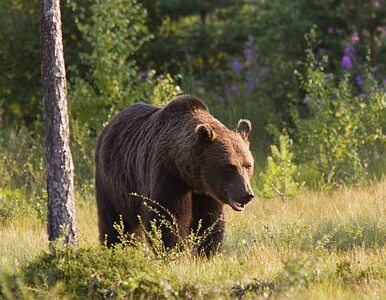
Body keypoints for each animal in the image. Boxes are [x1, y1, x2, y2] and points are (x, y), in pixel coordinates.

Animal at [95, 94, 255, 255]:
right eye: (230, 167)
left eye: (248, 165)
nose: (246, 194)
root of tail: (109, 125)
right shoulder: (168, 177)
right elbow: (167, 219)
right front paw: (173, 250)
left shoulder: (207, 193)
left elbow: (209, 220)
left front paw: (208, 251)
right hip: (112, 183)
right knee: (114, 221)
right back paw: (115, 247)